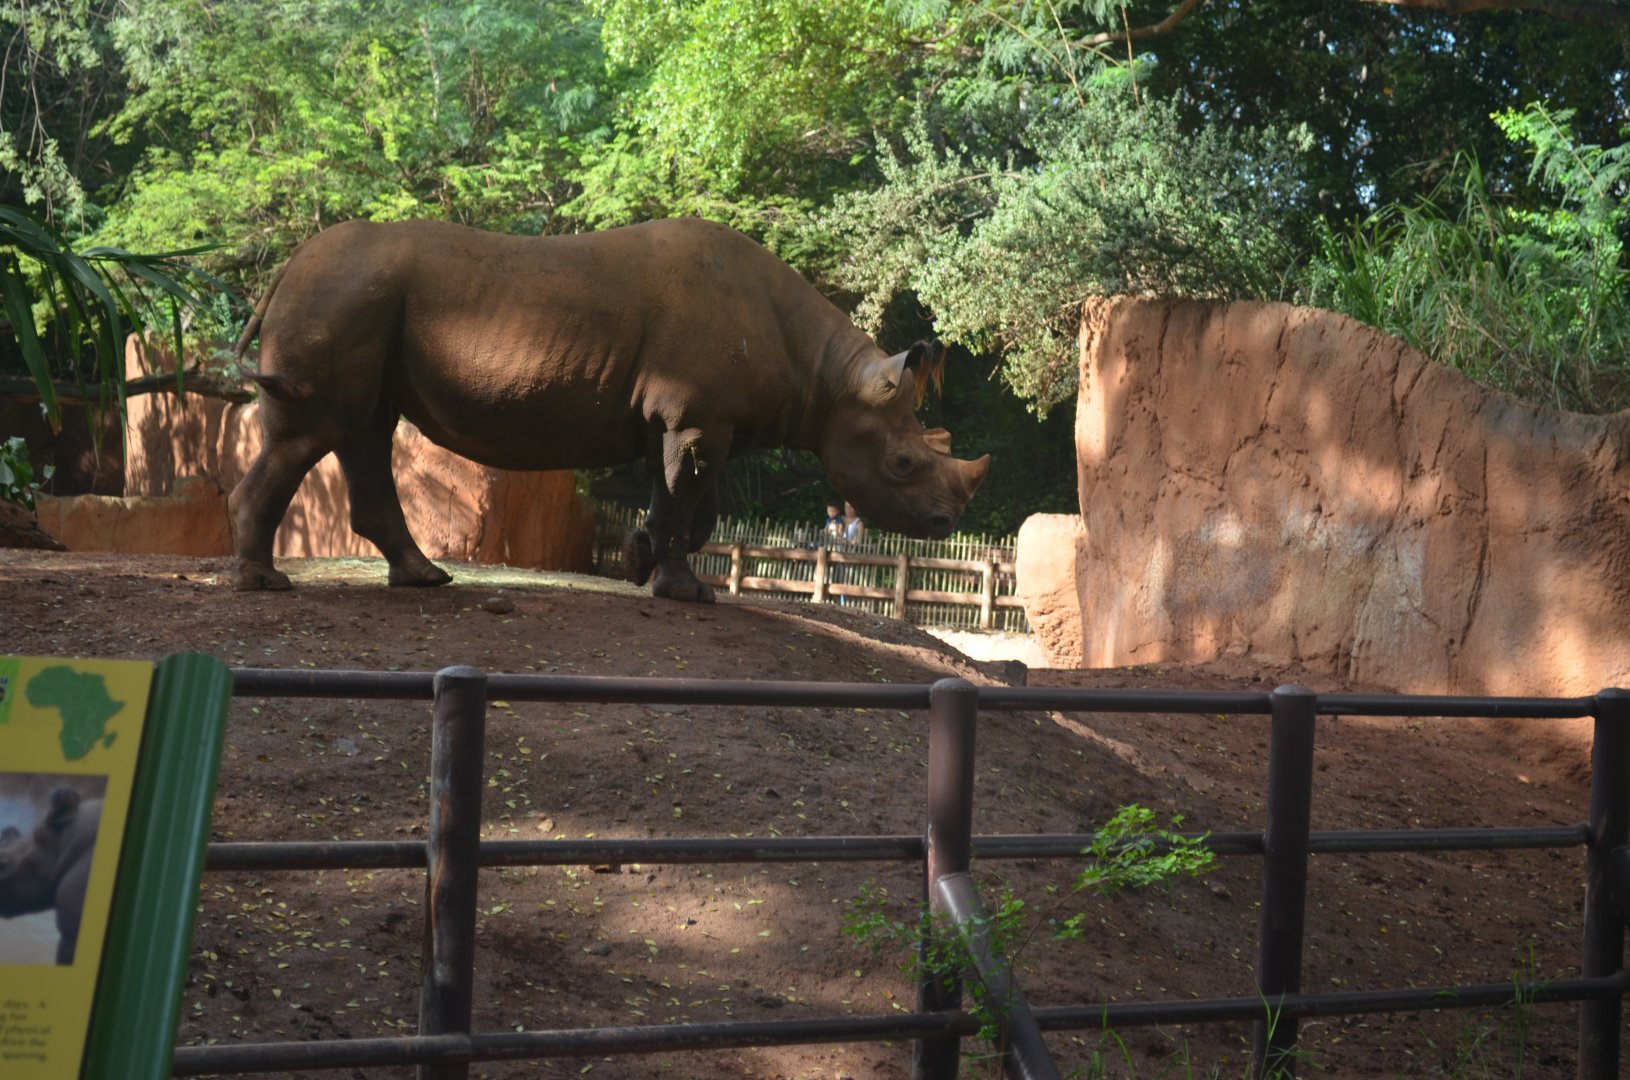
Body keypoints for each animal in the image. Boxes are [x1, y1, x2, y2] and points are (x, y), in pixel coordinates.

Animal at [230, 217, 989, 601]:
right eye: (901, 462)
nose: (946, 524)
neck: (829, 381)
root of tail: (287, 266)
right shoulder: (695, 412)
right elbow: (687, 500)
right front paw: (682, 591)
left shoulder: (693, 417)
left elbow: (686, 500)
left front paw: (641, 561)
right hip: (342, 292)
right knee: (319, 430)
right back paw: (264, 584)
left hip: (359, 298)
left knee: (364, 429)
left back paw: (423, 579)